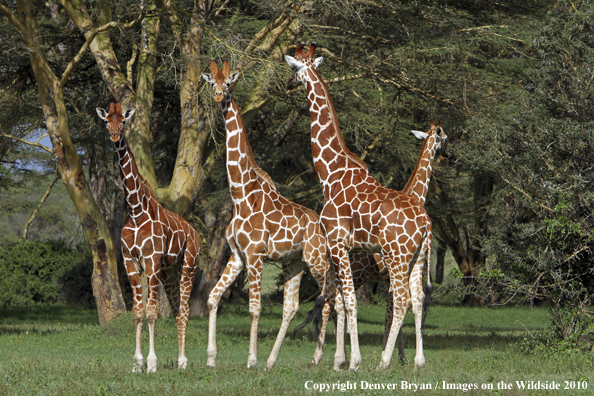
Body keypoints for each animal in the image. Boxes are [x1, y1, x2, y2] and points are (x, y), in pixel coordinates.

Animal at [95, 103, 201, 372]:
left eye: (123, 121)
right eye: (107, 121)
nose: (114, 136)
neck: (135, 210)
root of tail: (195, 233)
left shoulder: (151, 261)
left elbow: (152, 312)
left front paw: (151, 363)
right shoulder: (130, 262)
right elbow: (137, 313)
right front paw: (137, 363)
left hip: (188, 267)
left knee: (185, 310)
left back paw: (184, 361)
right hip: (169, 273)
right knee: (177, 310)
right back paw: (179, 360)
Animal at [200, 60, 340, 370]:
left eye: (229, 83)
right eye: (211, 83)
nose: (217, 97)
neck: (241, 195)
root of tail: (324, 226)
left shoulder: (254, 255)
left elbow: (255, 308)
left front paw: (250, 360)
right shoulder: (237, 255)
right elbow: (213, 298)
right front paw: (211, 359)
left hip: (317, 259)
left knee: (333, 298)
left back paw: (327, 358)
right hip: (294, 263)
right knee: (292, 307)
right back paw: (273, 361)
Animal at [284, 41, 432, 370]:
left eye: (292, 68)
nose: (287, 84)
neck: (330, 173)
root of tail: (426, 223)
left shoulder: (338, 242)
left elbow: (349, 300)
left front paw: (352, 361)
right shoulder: (348, 249)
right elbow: (340, 300)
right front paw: (341, 358)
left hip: (397, 256)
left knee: (401, 300)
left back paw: (385, 361)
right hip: (416, 258)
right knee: (415, 299)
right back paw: (417, 360)